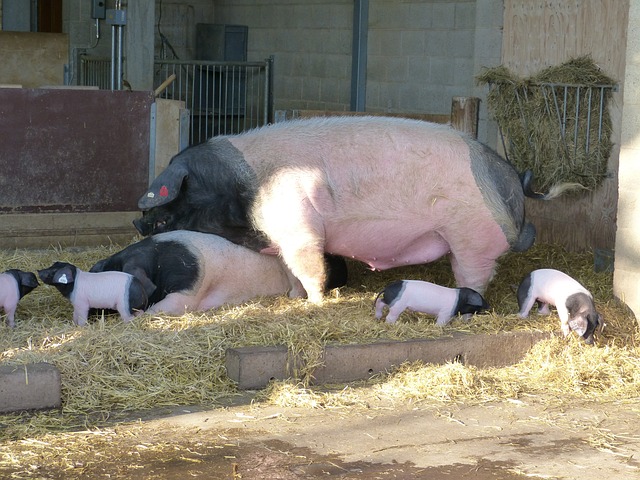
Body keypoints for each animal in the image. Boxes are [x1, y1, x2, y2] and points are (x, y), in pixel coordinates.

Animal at [136, 116, 576, 304]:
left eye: (177, 194)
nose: (139, 221)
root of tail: (509, 179)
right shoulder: (281, 240)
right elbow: (290, 272)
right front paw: (294, 298)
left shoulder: (299, 228)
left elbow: (310, 267)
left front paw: (314, 303)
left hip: (471, 237)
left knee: (474, 276)